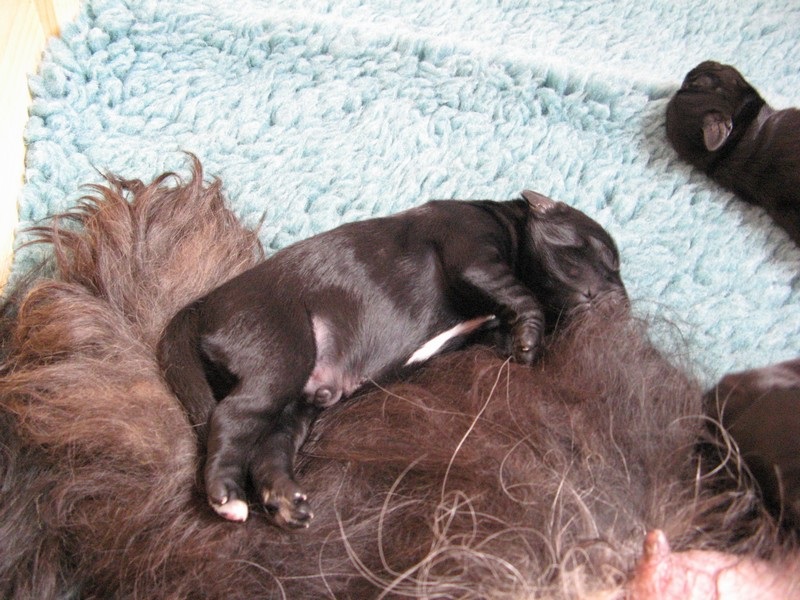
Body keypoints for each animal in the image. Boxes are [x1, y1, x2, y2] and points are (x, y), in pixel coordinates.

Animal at [157, 187, 628, 527]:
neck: (507, 219)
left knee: (267, 449)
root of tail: (200, 306)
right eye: (608, 257)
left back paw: (287, 501)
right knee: (231, 415)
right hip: (280, 352)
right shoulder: (473, 253)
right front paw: (530, 342)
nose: (624, 304)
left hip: (294, 404)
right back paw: (226, 496)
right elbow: (521, 294)